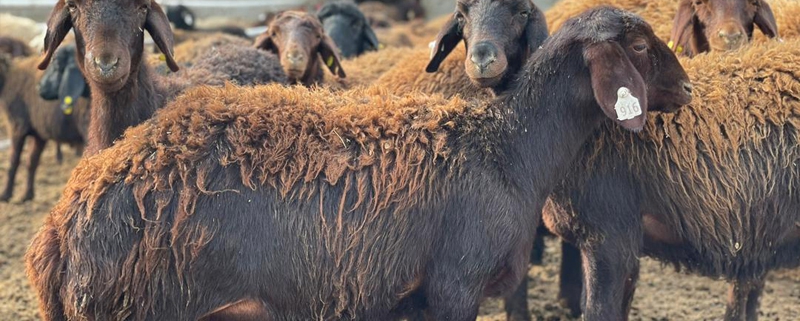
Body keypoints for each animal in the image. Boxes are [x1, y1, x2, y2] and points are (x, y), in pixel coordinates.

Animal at [0, 52, 90, 202]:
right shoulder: (39, 134)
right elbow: (32, 162)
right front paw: (27, 194)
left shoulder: (17, 127)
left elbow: (14, 161)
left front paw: (5, 194)